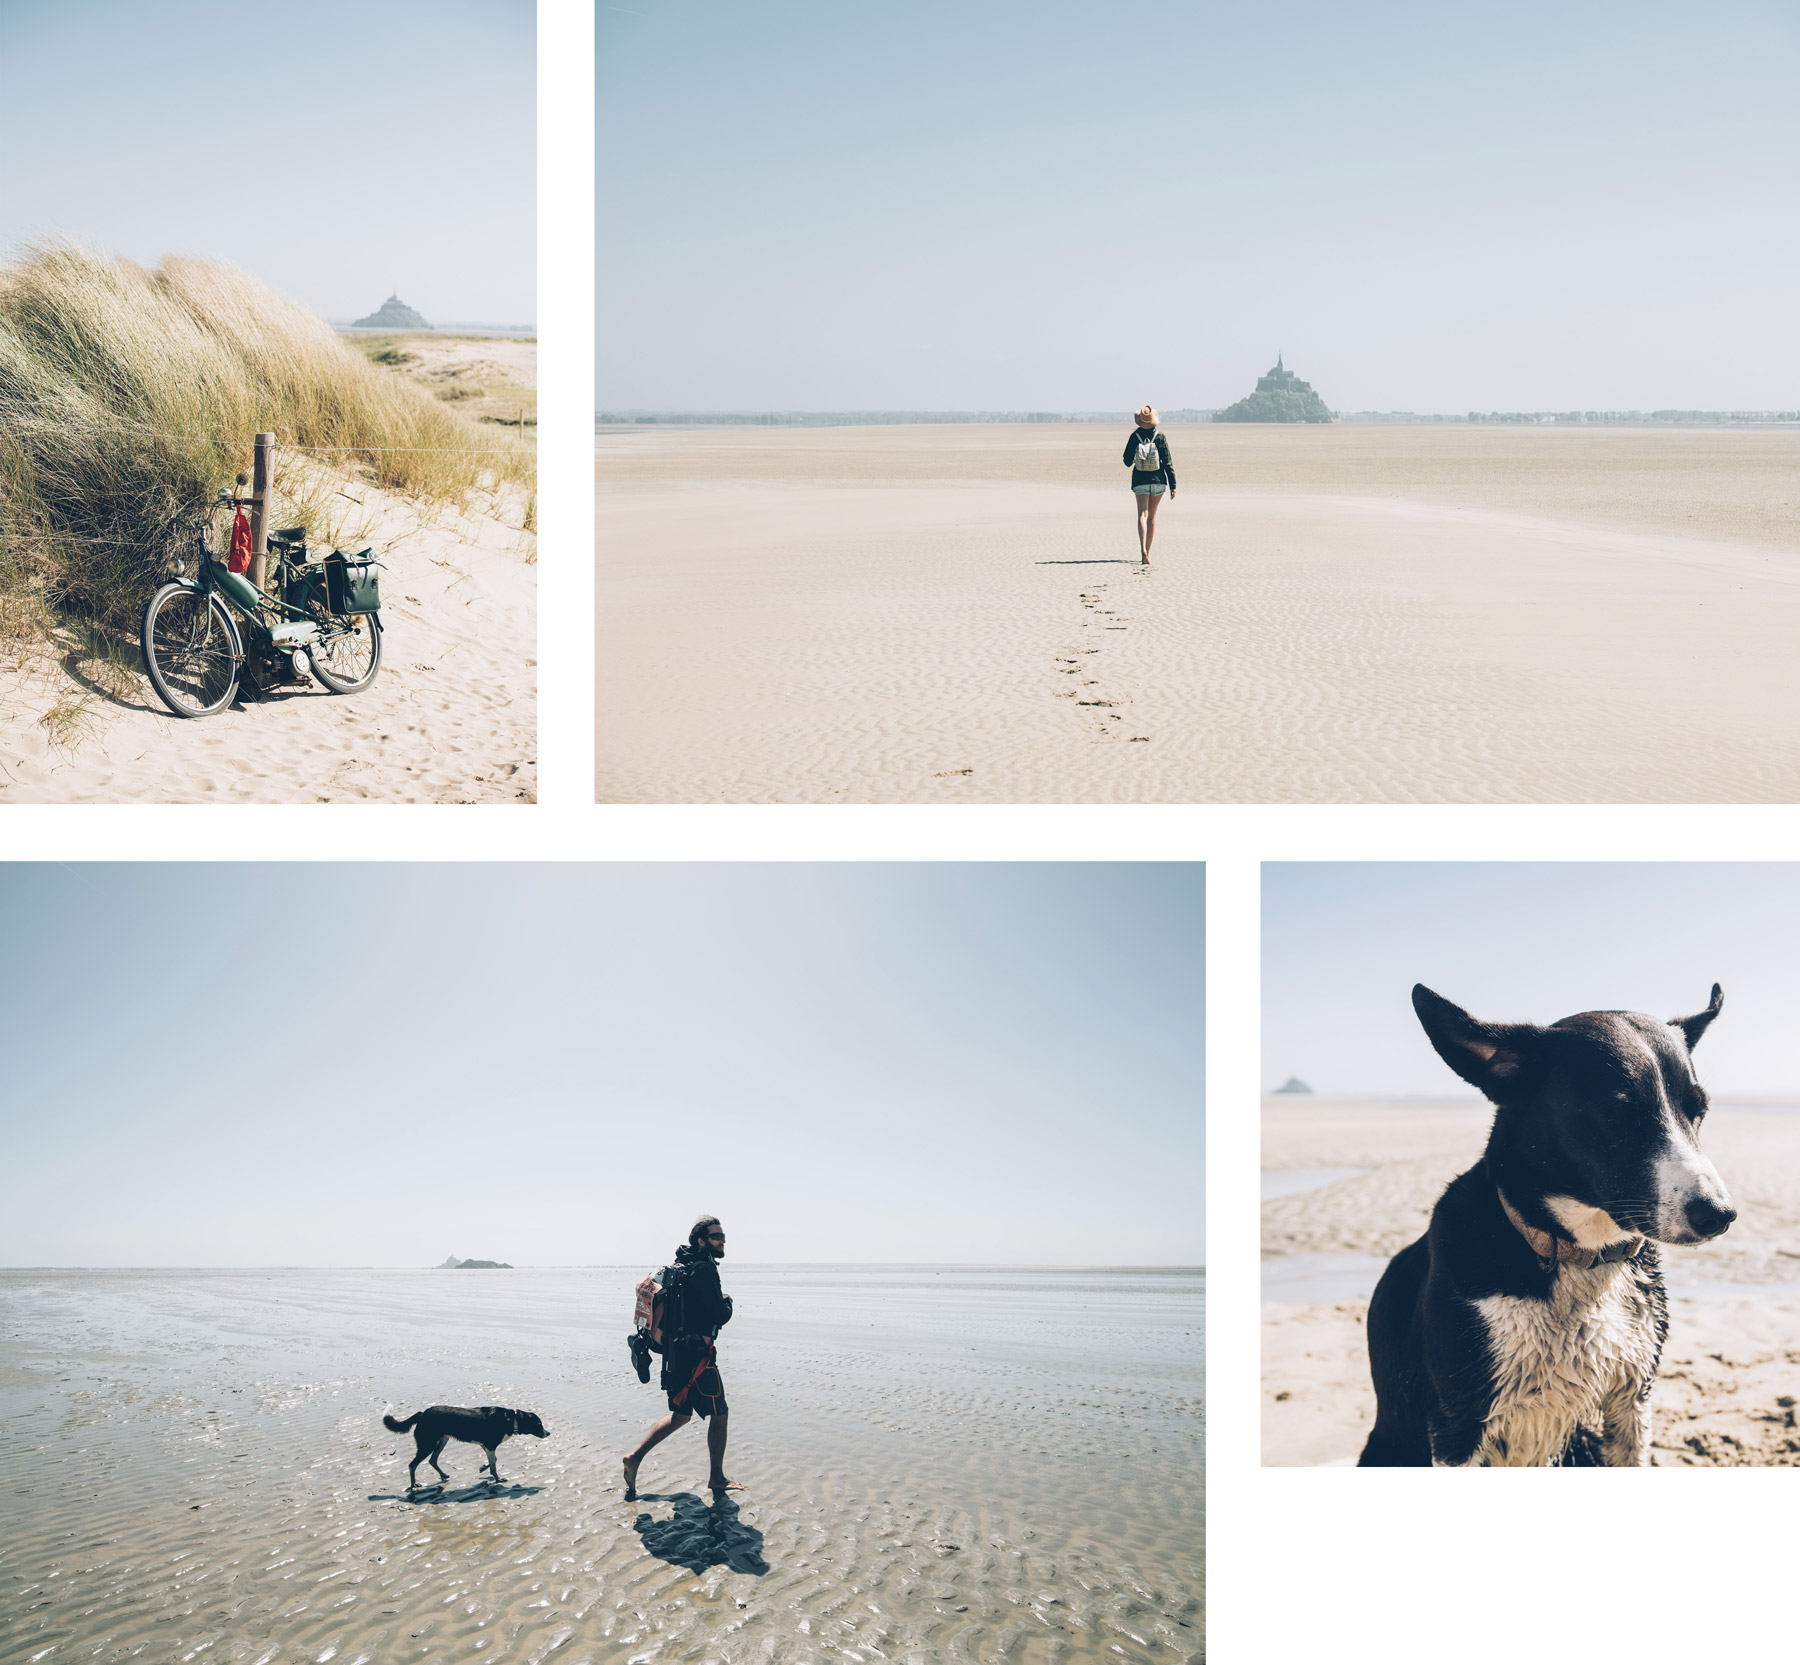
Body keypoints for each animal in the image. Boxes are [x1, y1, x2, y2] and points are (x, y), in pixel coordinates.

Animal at [1360, 979, 1728, 1461]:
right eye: (1619, 1112)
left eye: (1699, 1109)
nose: (1720, 1214)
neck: (1577, 1255)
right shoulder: (1456, 1428)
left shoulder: (1632, 1400)